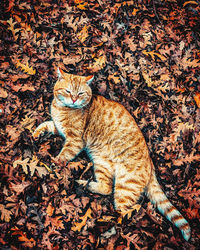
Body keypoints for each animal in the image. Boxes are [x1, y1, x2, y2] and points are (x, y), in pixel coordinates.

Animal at [32, 68, 191, 240]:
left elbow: (63, 156)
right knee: (106, 188)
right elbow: (46, 124)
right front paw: (36, 133)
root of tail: (151, 165)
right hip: (101, 164)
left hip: (124, 186)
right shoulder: (58, 128)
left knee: (126, 213)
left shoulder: (75, 141)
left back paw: (105, 222)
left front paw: (54, 165)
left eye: (80, 93)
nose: (74, 99)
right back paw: (86, 185)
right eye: (68, 91)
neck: (62, 108)